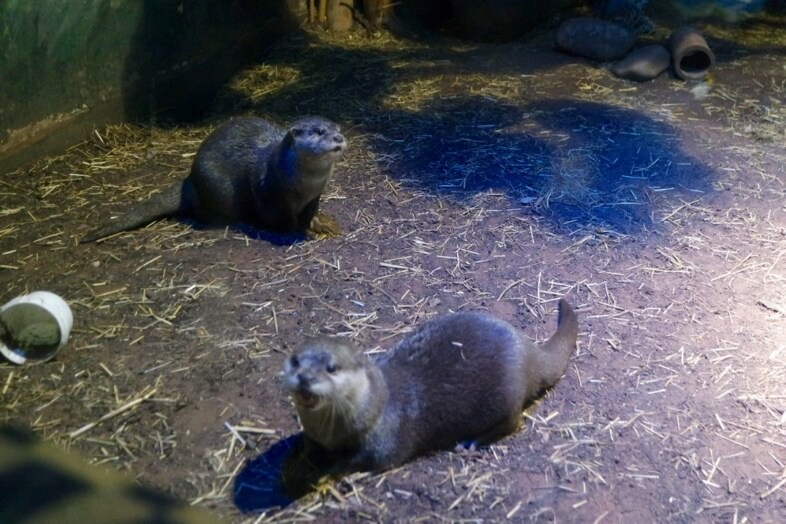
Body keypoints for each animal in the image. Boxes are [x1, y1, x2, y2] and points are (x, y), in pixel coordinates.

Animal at [80, 116, 346, 243]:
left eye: (338, 128)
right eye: (320, 132)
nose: (339, 138)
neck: (304, 184)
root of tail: (190, 180)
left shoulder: (315, 196)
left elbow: (310, 213)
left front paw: (321, 224)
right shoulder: (273, 195)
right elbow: (284, 220)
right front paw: (299, 232)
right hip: (221, 192)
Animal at [283, 298, 578, 471]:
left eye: (331, 367)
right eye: (295, 361)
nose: (305, 377)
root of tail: (529, 351)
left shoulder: (388, 438)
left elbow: (370, 460)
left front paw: (332, 468)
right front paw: (299, 454)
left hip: (507, 396)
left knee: (513, 422)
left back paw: (472, 441)